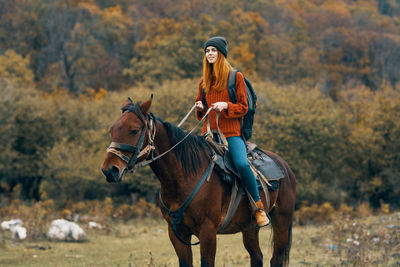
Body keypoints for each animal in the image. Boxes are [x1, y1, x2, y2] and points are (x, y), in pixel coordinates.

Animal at [101, 98, 296, 267]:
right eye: (112, 130)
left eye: (134, 130)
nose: (109, 170)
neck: (183, 179)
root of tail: (285, 167)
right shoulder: (176, 233)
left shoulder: (208, 232)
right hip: (249, 228)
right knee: (257, 257)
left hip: (282, 223)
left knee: (275, 259)